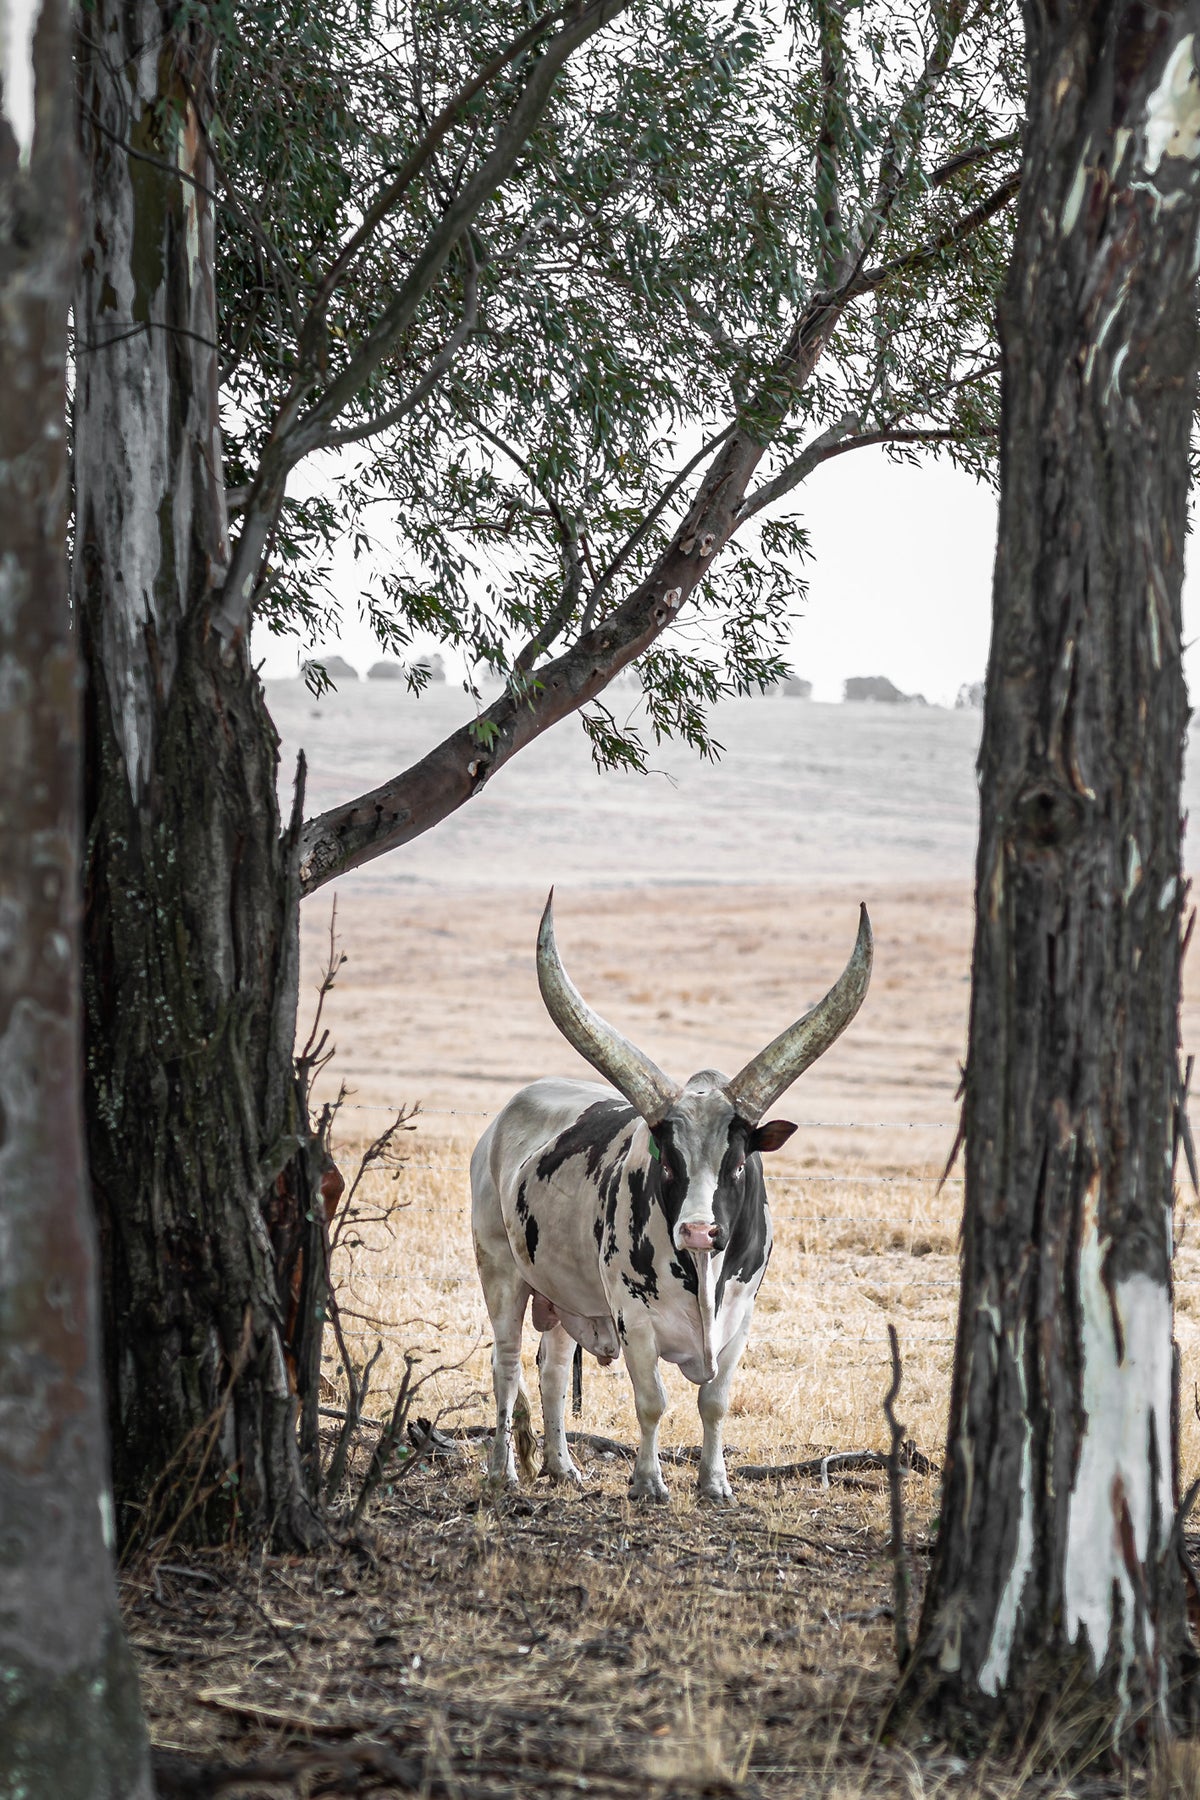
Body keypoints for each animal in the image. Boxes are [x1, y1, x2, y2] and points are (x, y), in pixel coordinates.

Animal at [471, 894, 873, 1503]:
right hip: (500, 1269)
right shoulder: (632, 1318)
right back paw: (503, 1471)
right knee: (508, 1364)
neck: (703, 1276)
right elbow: (652, 1401)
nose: (699, 1231)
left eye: (738, 1162)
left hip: (565, 1295)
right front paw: (647, 1483)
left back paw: (562, 1467)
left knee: (554, 1369)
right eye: (667, 1159)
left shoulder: (741, 1317)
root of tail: (502, 1119)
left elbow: (715, 1402)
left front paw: (715, 1484)